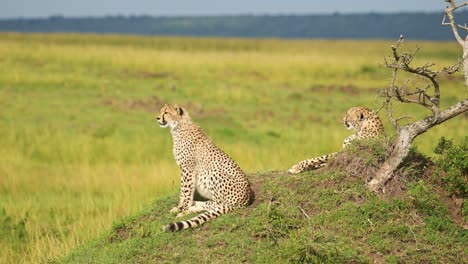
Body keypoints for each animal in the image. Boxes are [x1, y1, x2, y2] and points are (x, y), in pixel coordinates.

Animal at [156, 104, 252, 232]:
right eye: (161, 111)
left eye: (166, 113)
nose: (157, 118)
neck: (178, 126)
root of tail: (246, 200)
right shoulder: (183, 169)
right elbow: (183, 191)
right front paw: (179, 207)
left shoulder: (188, 169)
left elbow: (187, 191)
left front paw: (184, 211)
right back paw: (195, 204)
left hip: (214, 173)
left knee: (218, 204)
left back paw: (194, 207)